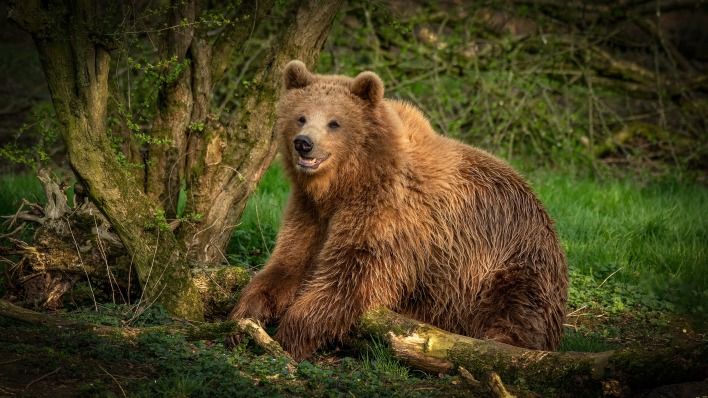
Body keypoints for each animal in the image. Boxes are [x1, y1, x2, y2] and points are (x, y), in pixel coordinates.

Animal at [230, 59, 568, 360]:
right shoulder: (310, 211)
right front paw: (246, 314)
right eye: (300, 117)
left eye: (334, 122)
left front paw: (289, 337)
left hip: (511, 262)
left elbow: (350, 277)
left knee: (518, 309)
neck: (347, 184)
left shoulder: (388, 216)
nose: (304, 143)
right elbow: (290, 260)